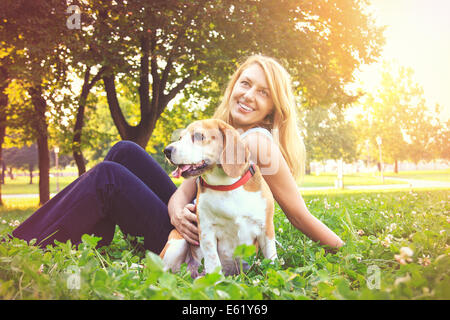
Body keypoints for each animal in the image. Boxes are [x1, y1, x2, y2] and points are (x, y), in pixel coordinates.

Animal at [160, 119, 276, 276]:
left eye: (198, 136)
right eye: (180, 137)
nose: (167, 150)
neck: (226, 186)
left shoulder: (266, 229)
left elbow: (272, 260)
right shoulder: (207, 232)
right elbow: (213, 263)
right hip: (177, 244)